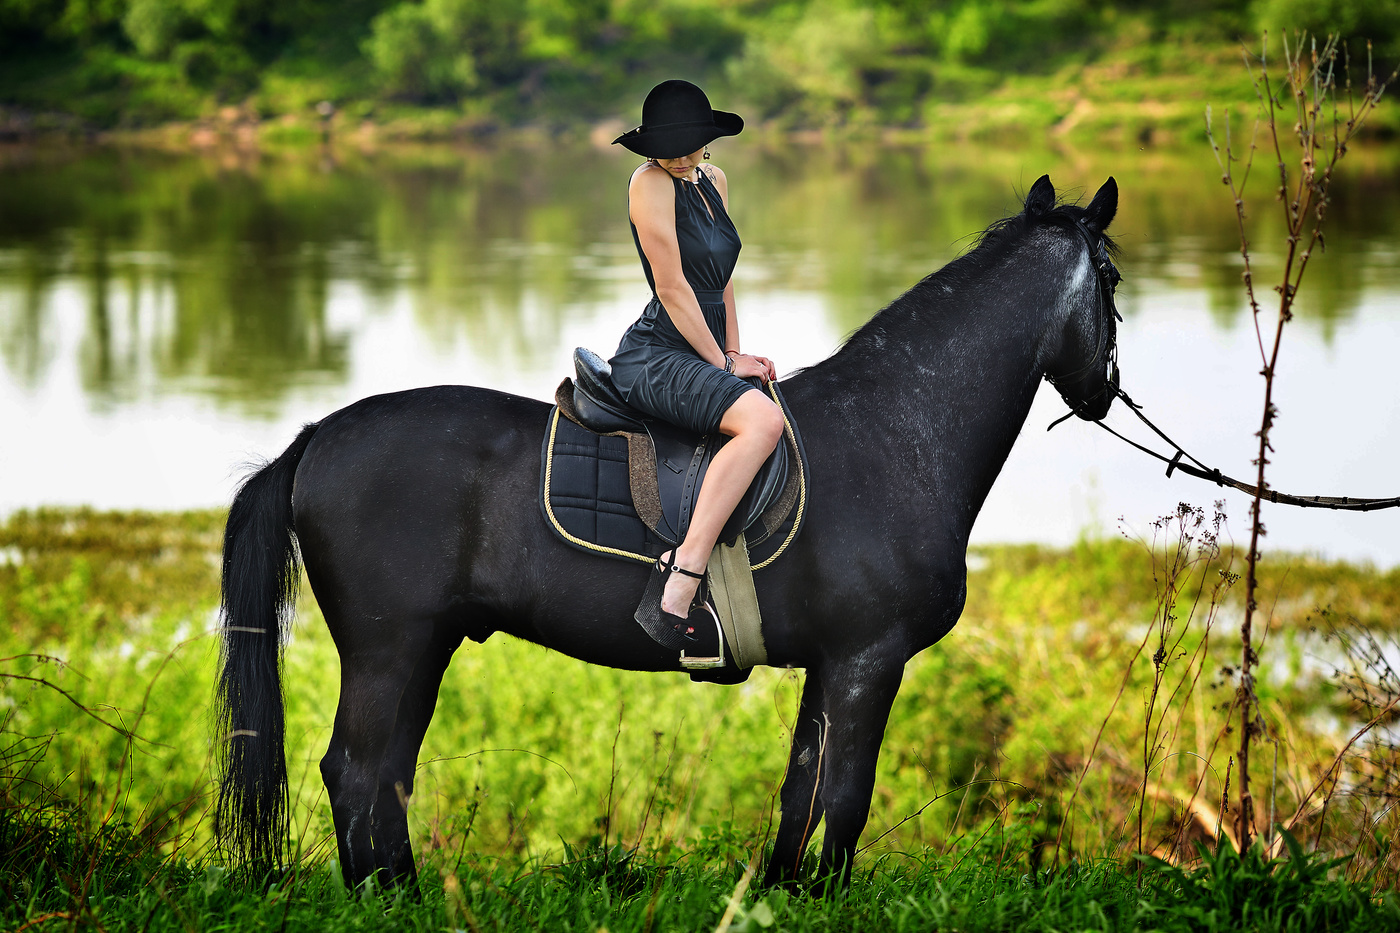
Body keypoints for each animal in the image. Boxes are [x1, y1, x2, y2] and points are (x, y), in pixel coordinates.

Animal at [214, 173, 1121, 891]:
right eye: (1112, 276)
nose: (1106, 393)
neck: (897, 427)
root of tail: (318, 436)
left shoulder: (833, 663)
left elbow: (801, 791)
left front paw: (779, 895)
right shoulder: (870, 658)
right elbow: (844, 798)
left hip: (422, 644)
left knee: (384, 776)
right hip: (389, 644)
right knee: (358, 771)